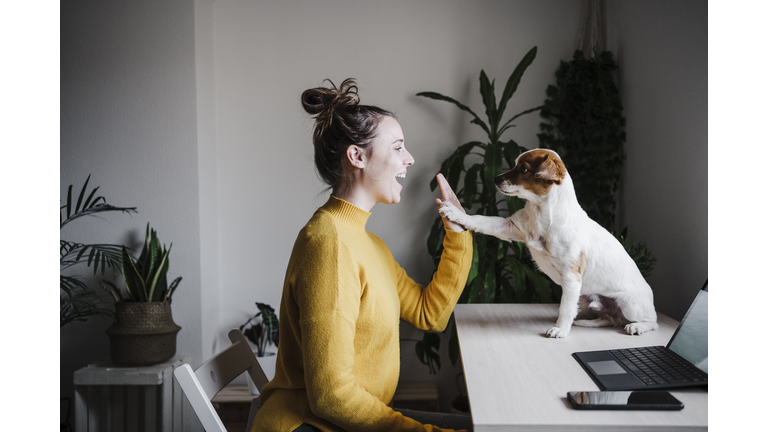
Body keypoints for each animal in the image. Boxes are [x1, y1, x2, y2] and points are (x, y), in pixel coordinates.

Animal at [440, 148, 656, 338]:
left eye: (523, 169)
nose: (495, 178)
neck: (541, 213)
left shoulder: (571, 278)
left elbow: (565, 308)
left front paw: (560, 330)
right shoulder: (509, 227)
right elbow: (480, 220)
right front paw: (455, 213)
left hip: (628, 305)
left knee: (651, 323)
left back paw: (637, 327)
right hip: (585, 297)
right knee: (609, 319)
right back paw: (586, 321)